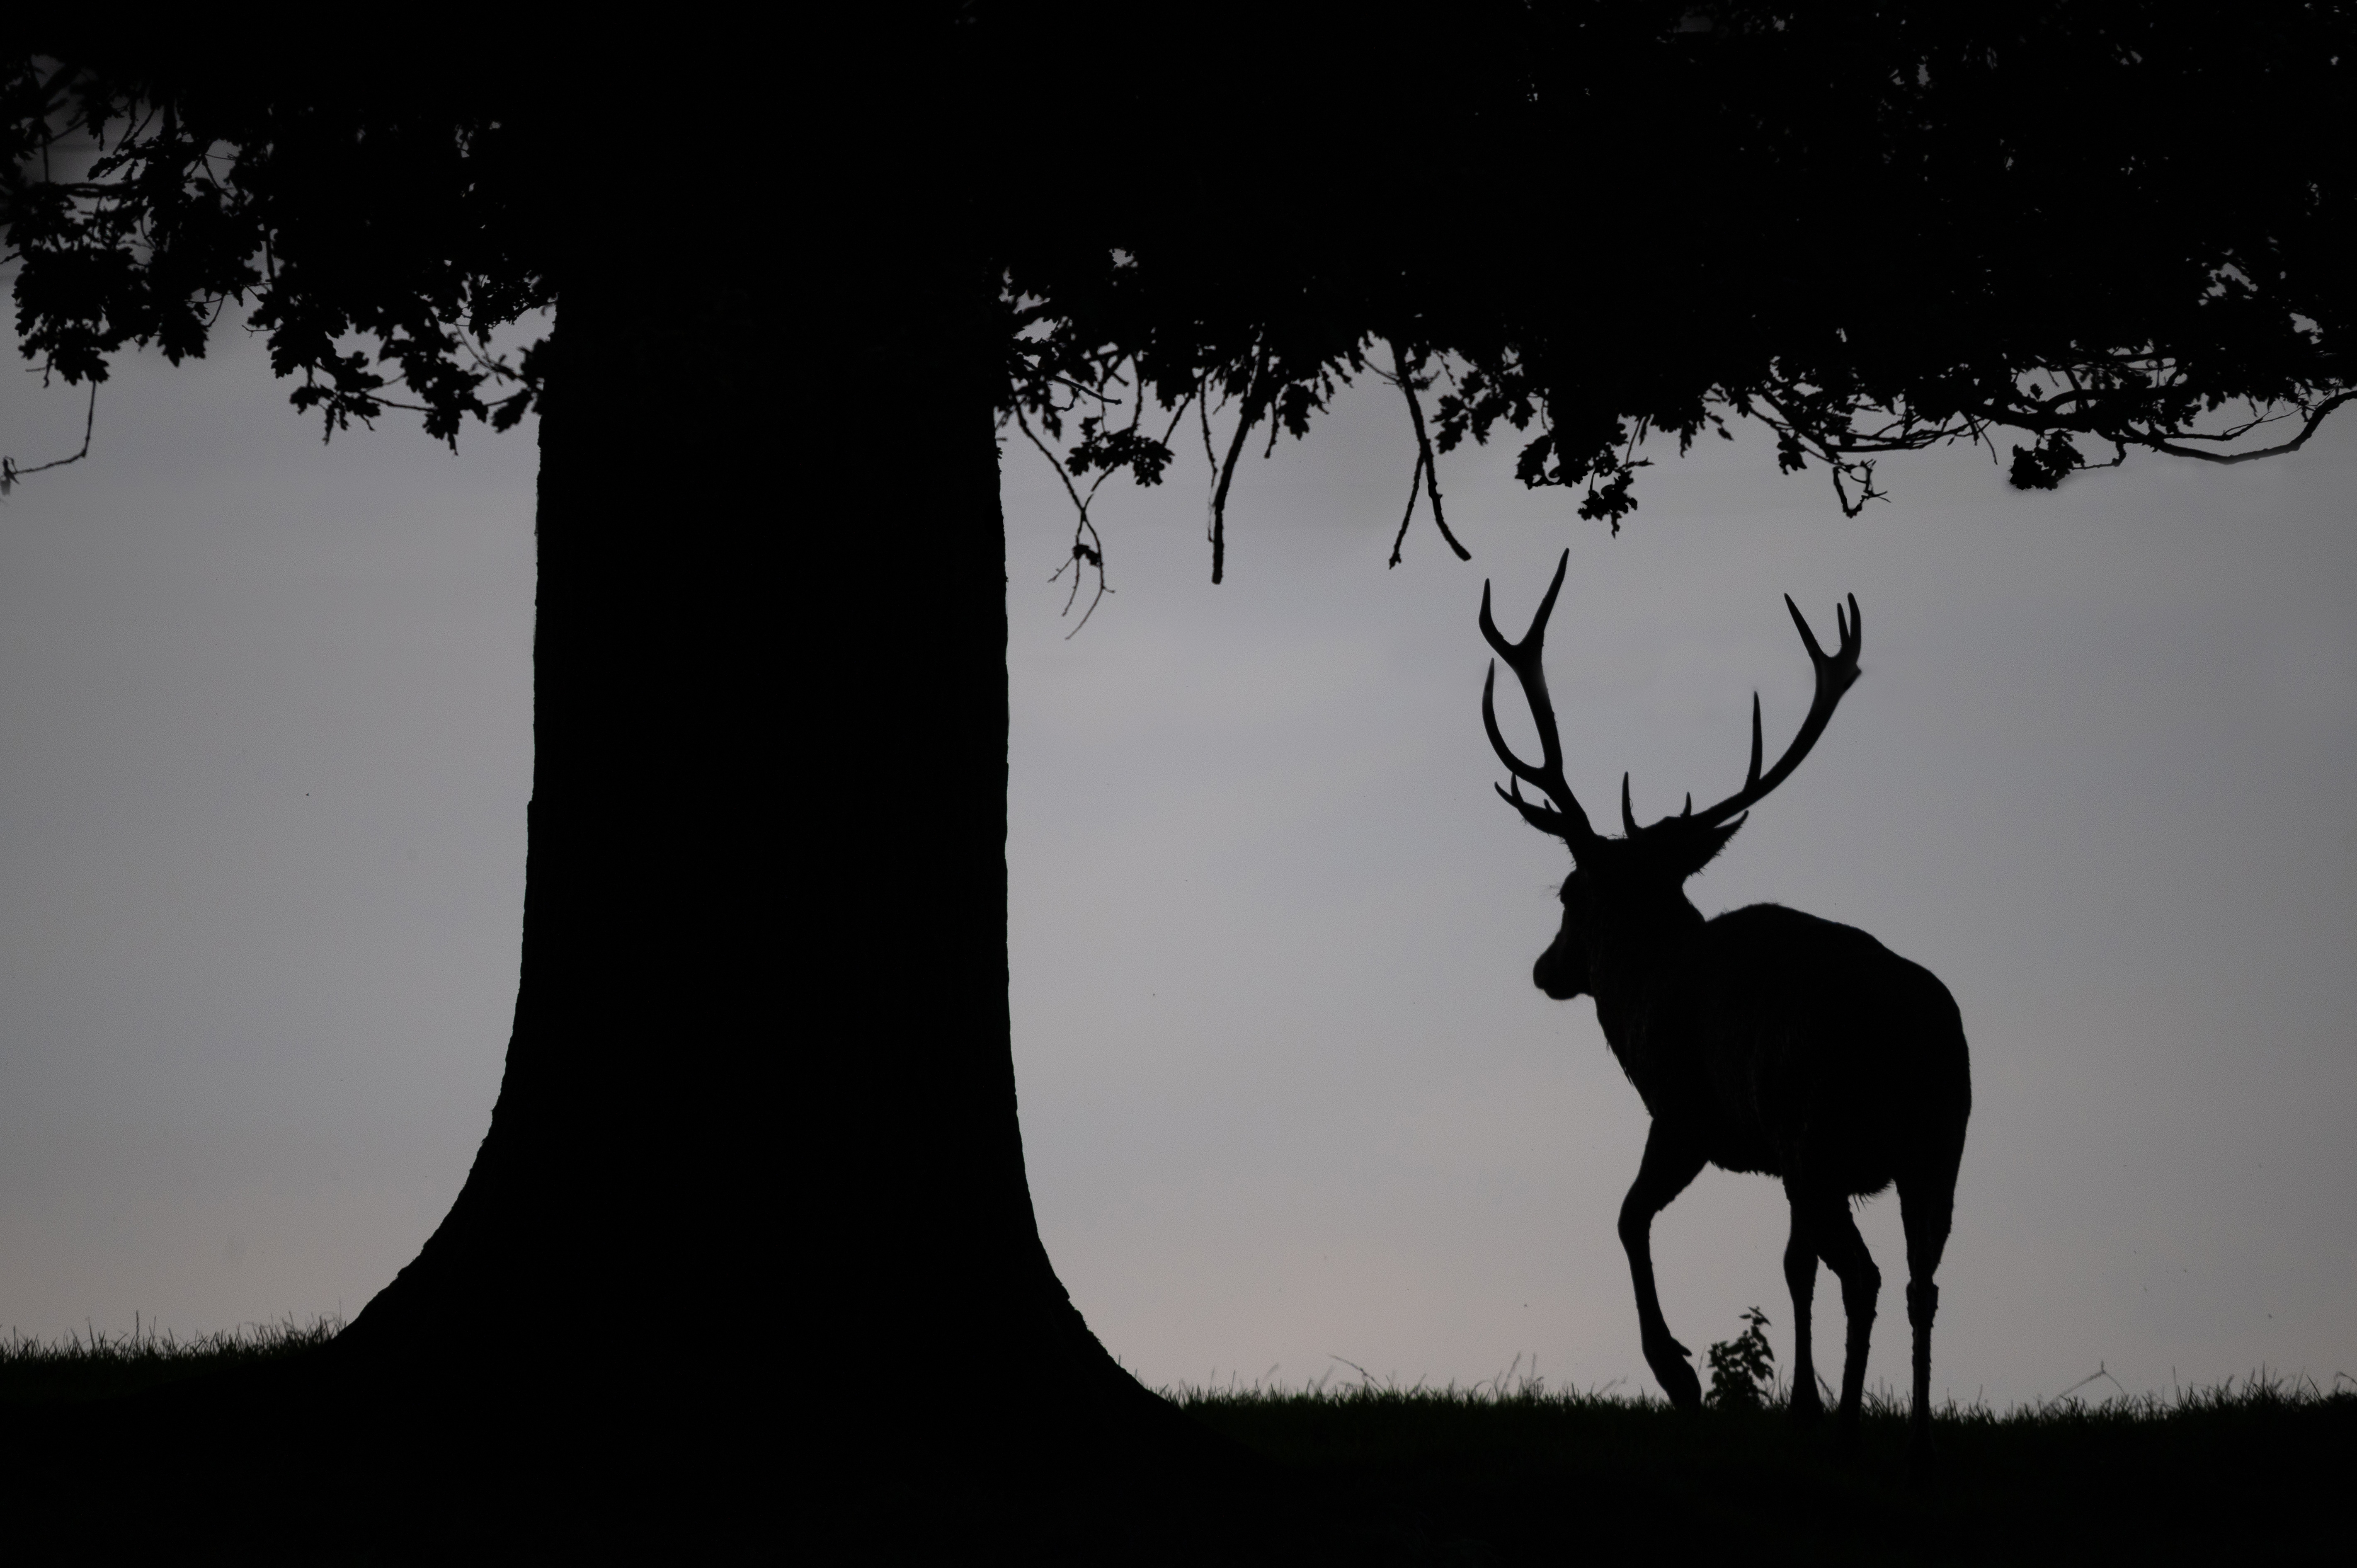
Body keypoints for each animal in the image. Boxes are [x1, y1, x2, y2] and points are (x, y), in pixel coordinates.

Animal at [1479, 551, 1971, 1460]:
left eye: (1569, 892)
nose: (1543, 969)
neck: (1643, 993)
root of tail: (1913, 1029)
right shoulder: (1775, 1158)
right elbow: (1791, 1265)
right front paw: (1796, 1400)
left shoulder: (1686, 1114)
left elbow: (1629, 1216)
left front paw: (1678, 1373)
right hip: (1938, 1143)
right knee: (1919, 1278)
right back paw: (1916, 1430)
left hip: (1820, 1129)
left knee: (1867, 1273)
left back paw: (1850, 1423)